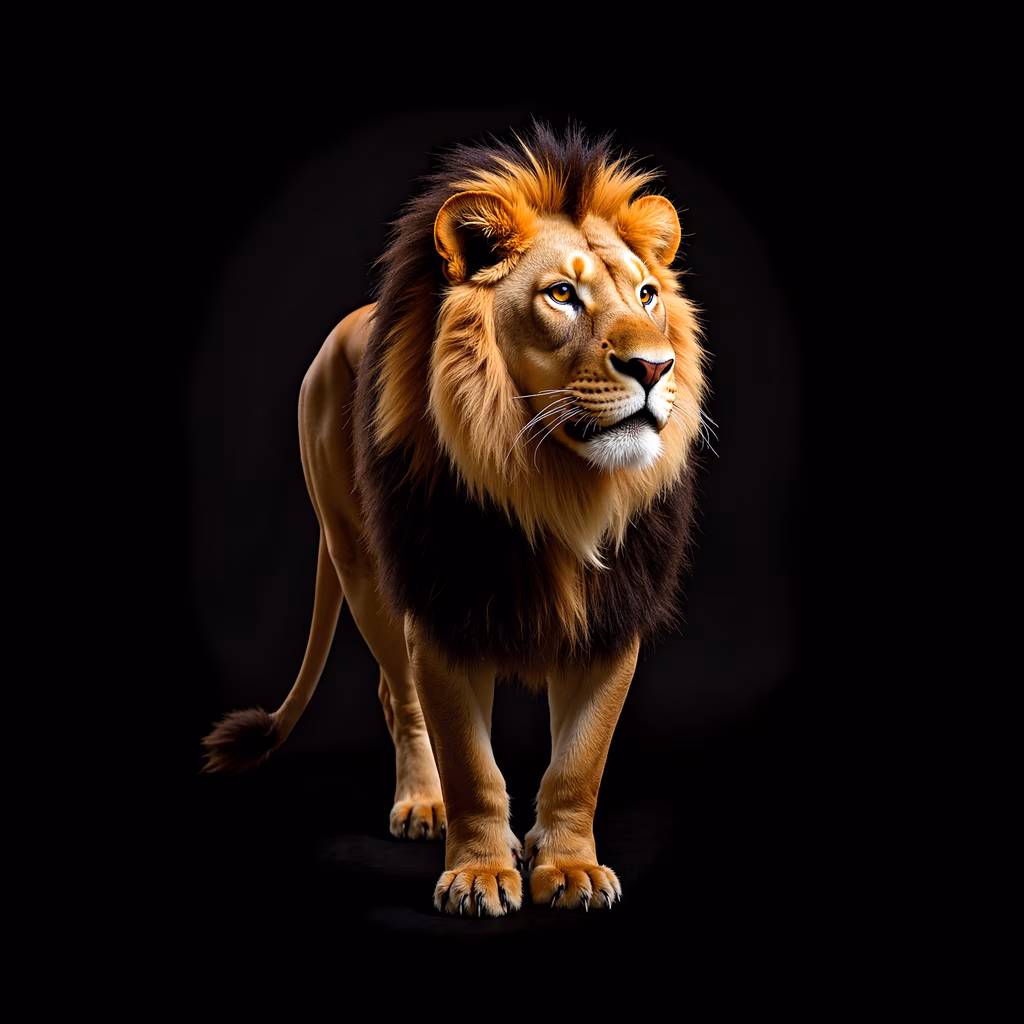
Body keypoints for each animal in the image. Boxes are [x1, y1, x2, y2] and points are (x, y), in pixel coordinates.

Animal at [201, 124, 708, 917]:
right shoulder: (443, 608)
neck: (556, 486)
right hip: (364, 567)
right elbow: (471, 764)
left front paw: (569, 867)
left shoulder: (611, 615)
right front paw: (479, 873)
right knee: (400, 697)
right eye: (562, 295)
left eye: (648, 295)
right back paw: (423, 804)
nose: (656, 368)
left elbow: (580, 762)